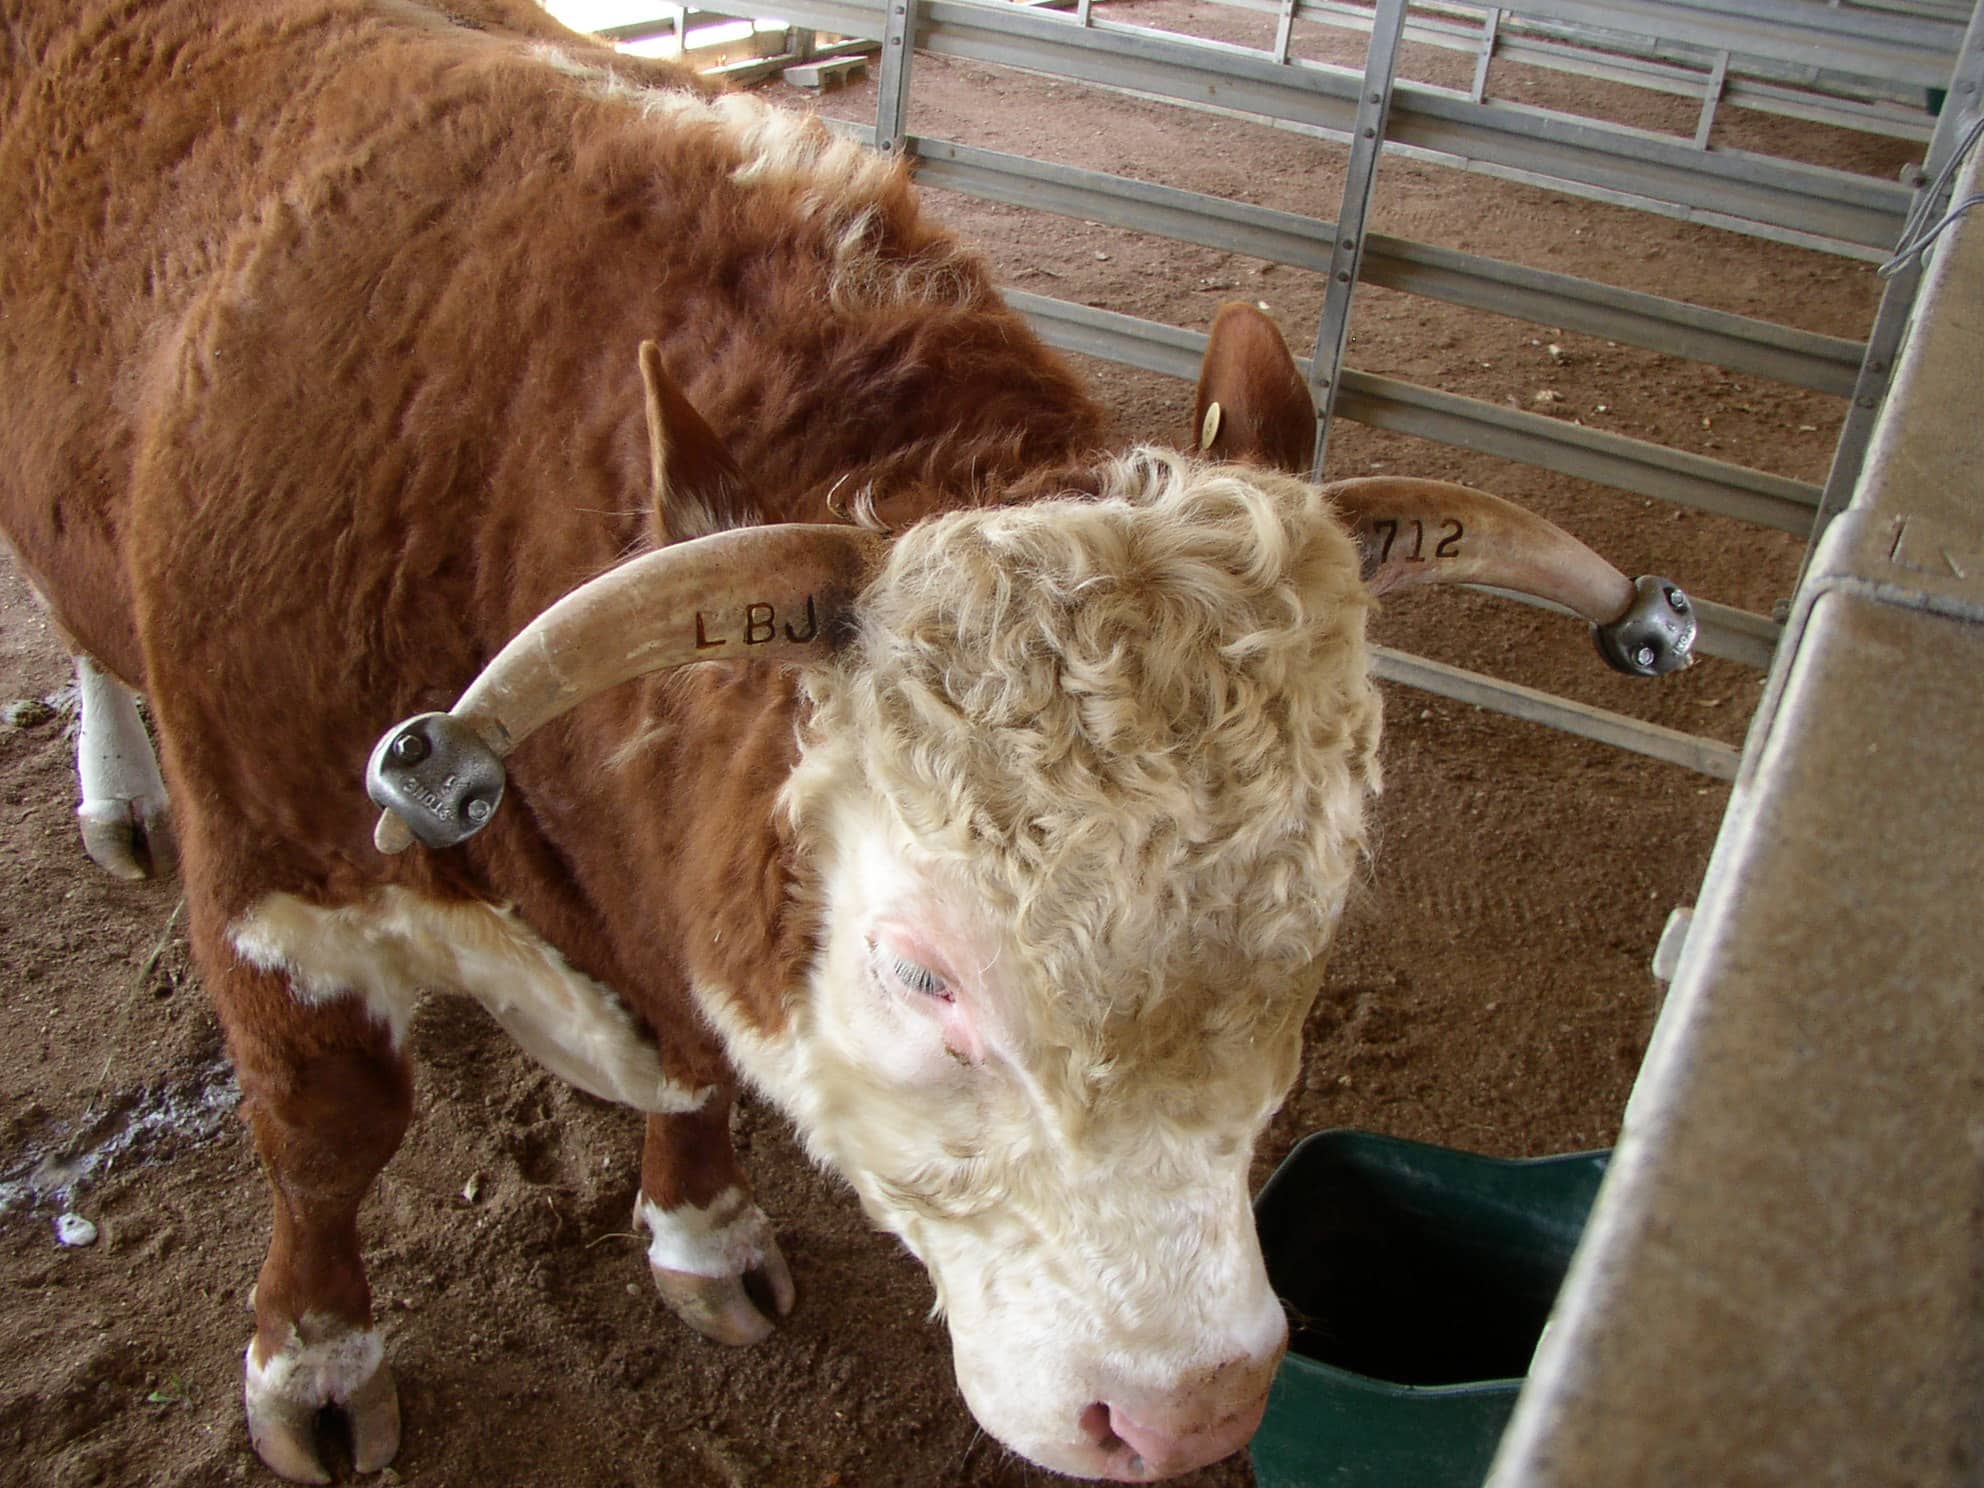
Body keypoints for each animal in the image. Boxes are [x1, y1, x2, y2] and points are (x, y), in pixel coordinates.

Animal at [7, 5, 1698, 1484]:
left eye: (1319, 935)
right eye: (922, 976)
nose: (1190, 1416)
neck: (480, 461)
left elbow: (688, 1063)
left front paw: (703, 1233)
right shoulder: (274, 866)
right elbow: (326, 1131)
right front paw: (313, 1359)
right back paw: (115, 794)